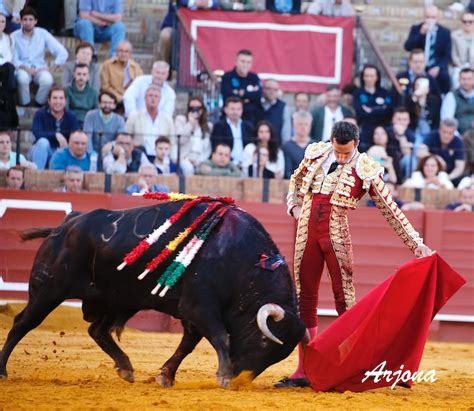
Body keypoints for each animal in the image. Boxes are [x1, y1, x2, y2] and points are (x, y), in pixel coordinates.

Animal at [0, 201, 306, 388]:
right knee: (22, 323)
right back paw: (3, 370)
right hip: (48, 291)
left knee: (97, 330)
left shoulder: (192, 314)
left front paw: (165, 376)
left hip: (115, 298)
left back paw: (125, 367)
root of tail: (65, 226)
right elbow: (220, 336)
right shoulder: (199, 307)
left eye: (278, 355)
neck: (244, 261)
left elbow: (187, 345)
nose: (239, 379)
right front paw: (222, 375)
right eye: (265, 343)